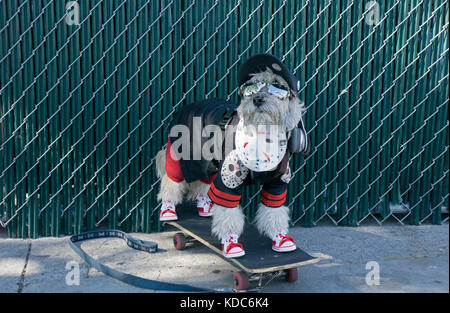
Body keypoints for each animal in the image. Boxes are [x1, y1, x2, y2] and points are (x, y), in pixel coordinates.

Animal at [155, 54, 306, 258]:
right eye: (252, 86)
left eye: (277, 85)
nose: (257, 99)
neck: (262, 134)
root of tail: (188, 106)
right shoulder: (228, 183)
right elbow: (228, 216)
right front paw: (231, 243)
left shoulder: (277, 185)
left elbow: (274, 212)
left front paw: (280, 238)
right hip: (180, 158)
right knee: (171, 182)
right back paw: (168, 209)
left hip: (208, 163)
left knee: (201, 183)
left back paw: (204, 205)